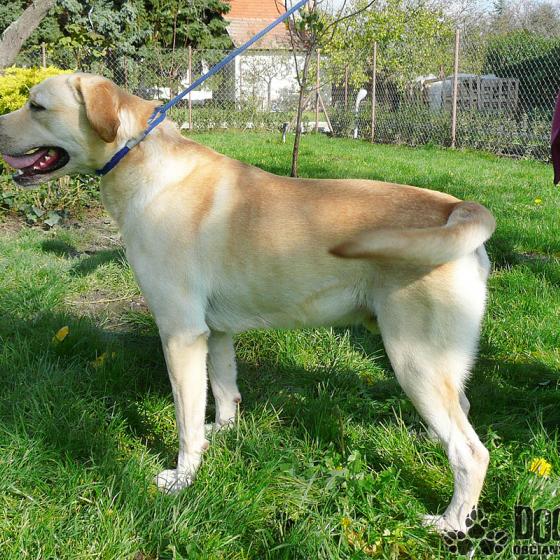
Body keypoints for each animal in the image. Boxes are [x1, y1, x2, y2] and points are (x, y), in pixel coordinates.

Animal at [0, 73, 495, 533]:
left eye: (36, 106)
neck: (142, 161)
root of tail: (458, 206)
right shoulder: (214, 332)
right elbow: (222, 393)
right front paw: (221, 436)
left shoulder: (180, 334)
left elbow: (186, 420)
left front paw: (183, 478)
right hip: (437, 364)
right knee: (463, 414)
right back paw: (429, 446)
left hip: (413, 359)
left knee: (471, 451)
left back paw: (450, 523)